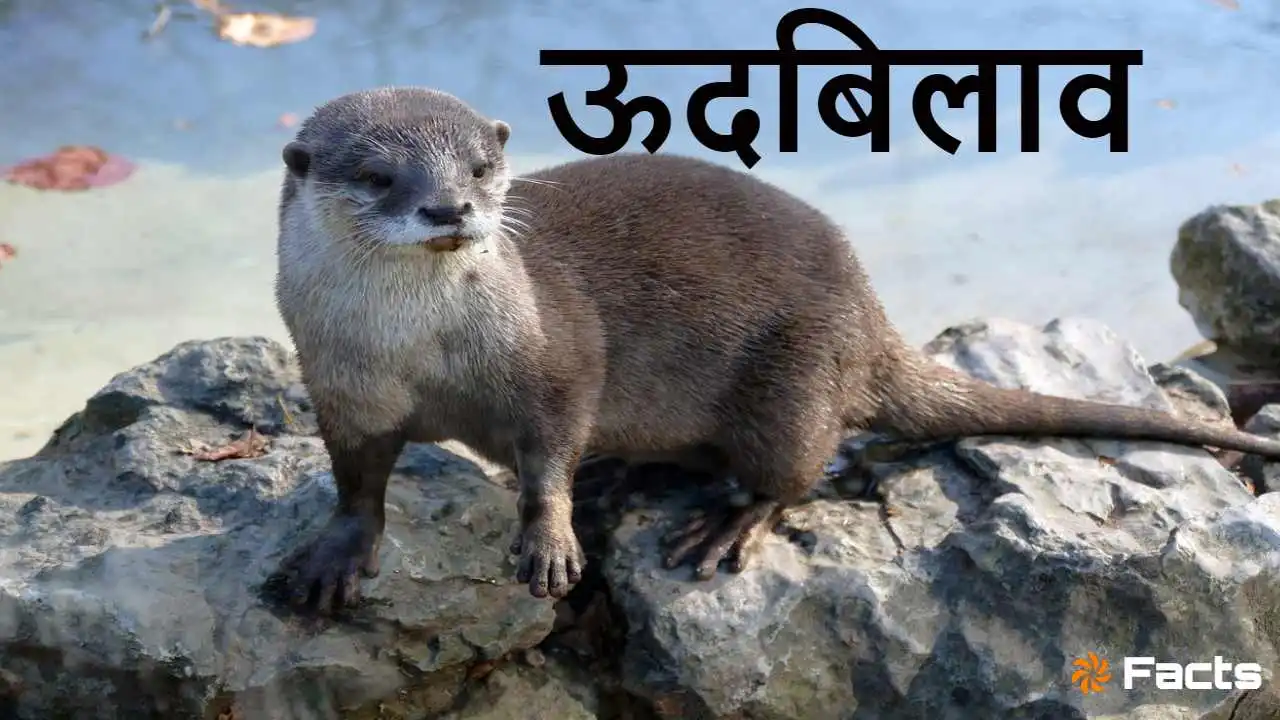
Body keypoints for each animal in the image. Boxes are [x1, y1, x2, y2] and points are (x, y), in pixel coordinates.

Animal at [272, 86, 1280, 615]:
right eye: (379, 176)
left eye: (481, 169)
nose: (450, 207)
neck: (425, 350)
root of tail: (871, 321)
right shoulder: (340, 382)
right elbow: (357, 477)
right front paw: (335, 553)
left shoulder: (553, 354)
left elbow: (551, 445)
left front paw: (550, 541)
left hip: (795, 378)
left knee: (797, 473)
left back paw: (725, 524)